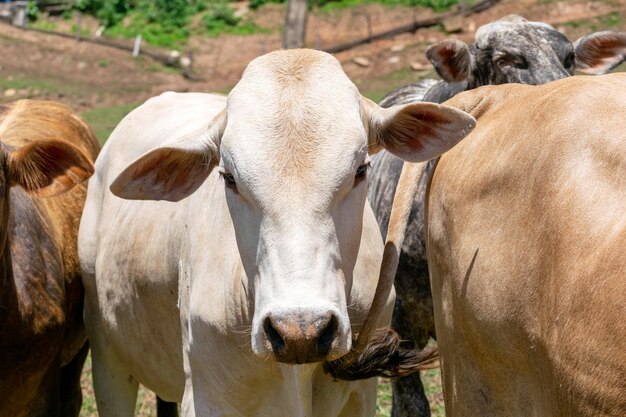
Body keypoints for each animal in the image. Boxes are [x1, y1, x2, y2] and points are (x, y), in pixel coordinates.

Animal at [79, 49, 472, 416]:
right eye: (229, 177)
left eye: (361, 169)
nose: (300, 332)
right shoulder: (205, 398)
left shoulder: (360, 397)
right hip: (106, 357)